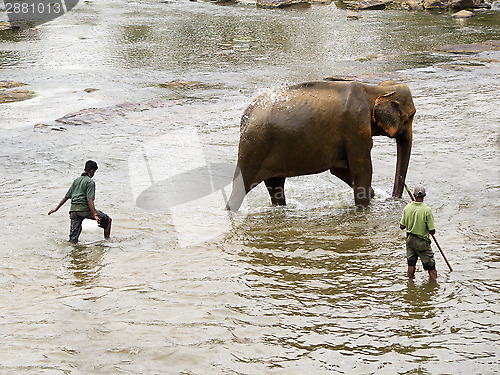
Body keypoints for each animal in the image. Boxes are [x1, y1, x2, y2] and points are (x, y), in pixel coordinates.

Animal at [226, 80, 414, 212]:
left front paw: (373, 195)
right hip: (253, 147)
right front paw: (364, 206)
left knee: (276, 185)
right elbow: (362, 169)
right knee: (241, 187)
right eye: (411, 116)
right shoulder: (355, 127)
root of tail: (246, 116)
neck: (375, 89)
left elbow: (340, 170)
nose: (394, 199)